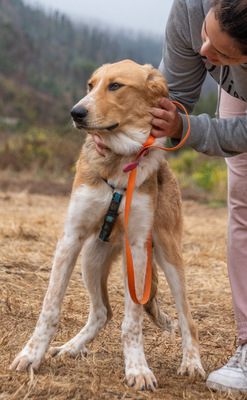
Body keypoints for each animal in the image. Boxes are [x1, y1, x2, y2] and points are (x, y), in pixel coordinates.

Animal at [10, 60, 205, 390]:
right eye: (90, 85)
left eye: (115, 86)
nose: (76, 112)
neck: (120, 161)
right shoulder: (71, 238)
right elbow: (50, 307)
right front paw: (31, 355)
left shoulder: (138, 246)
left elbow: (133, 321)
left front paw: (137, 368)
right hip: (91, 257)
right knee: (102, 312)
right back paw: (71, 347)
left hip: (166, 254)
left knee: (186, 319)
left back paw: (191, 362)